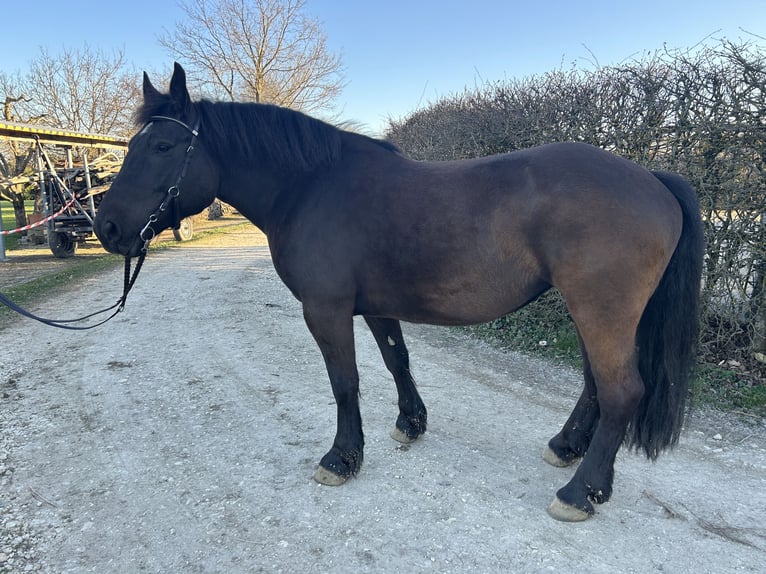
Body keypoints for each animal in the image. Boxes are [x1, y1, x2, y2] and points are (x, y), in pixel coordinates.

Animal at [94, 63, 704, 522]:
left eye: (164, 145)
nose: (107, 228)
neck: (310, 188)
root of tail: (651, 178)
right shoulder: (375, 307)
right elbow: (396, 361)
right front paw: (411, 424)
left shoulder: (327, 310)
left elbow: (345, 382)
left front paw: (342, 458)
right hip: (592, 312)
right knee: (596, 385)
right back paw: (569, 452)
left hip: (600, 310)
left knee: (622, 391)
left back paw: (580, 492)